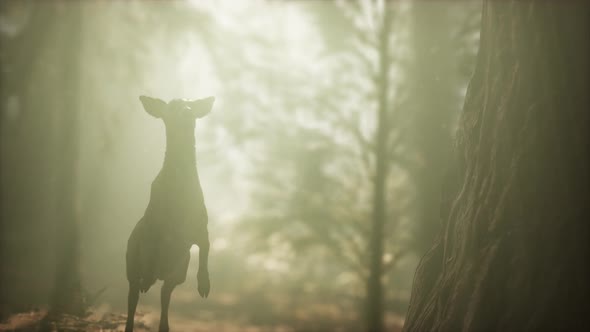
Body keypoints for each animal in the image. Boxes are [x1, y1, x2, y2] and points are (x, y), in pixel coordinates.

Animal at [125, 94, 215, 330]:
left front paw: (204, 285)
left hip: (178, 272)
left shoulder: (200, 226)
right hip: (130, 265)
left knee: (165, 296)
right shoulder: (153, 226)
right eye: (172, 107)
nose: (186, 111)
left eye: (191, 105)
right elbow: (151, 249)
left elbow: (206, 249)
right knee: (132, 300)